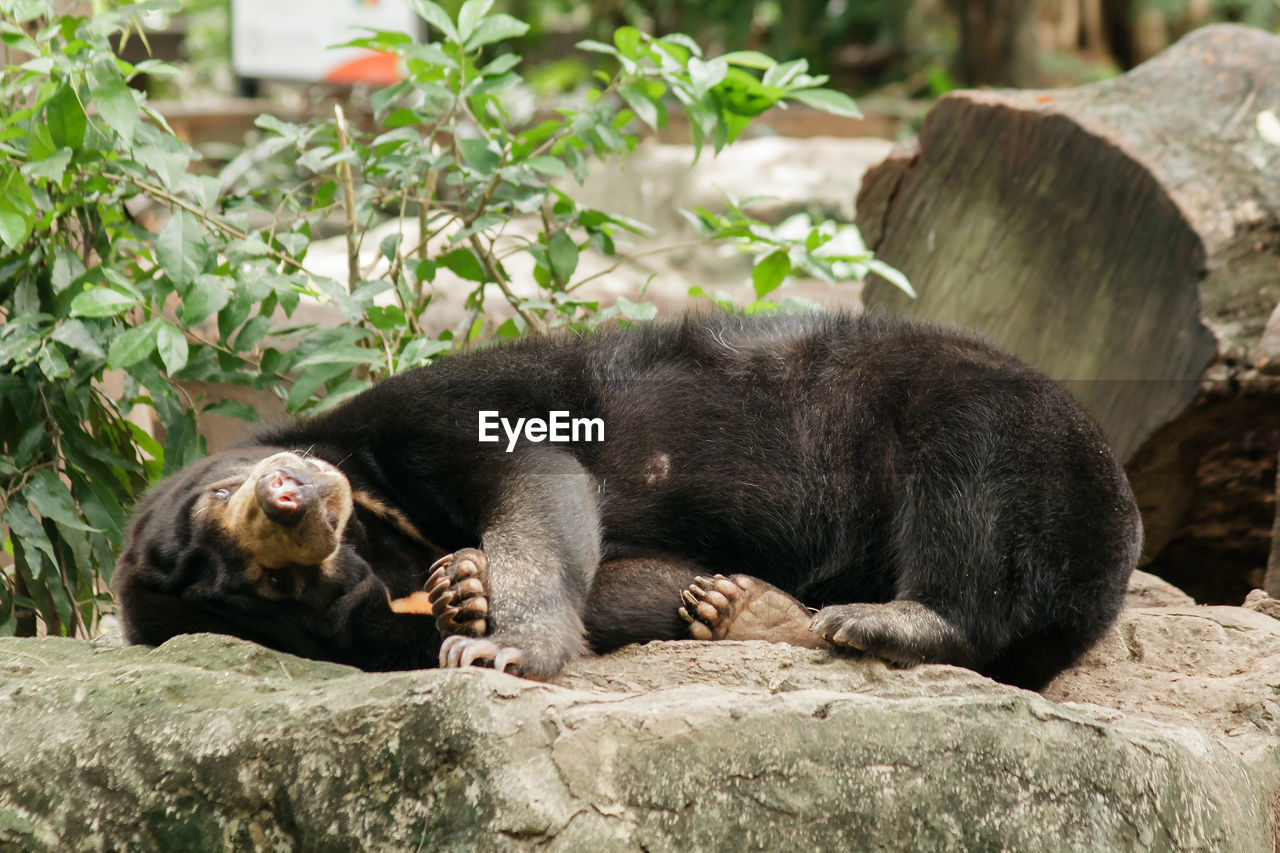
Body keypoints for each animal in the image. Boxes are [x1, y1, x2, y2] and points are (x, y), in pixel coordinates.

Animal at [115, 308, 1146, 686]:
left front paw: (493, 640)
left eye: (219, 494)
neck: (383, 506)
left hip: (1005, 421)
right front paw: (463, 593)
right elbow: (631, 579)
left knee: (967, 485)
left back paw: (889, 618)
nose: (291, 494)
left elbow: (538, 477)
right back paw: (752, 611)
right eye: (271, 585)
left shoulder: (437, 408)